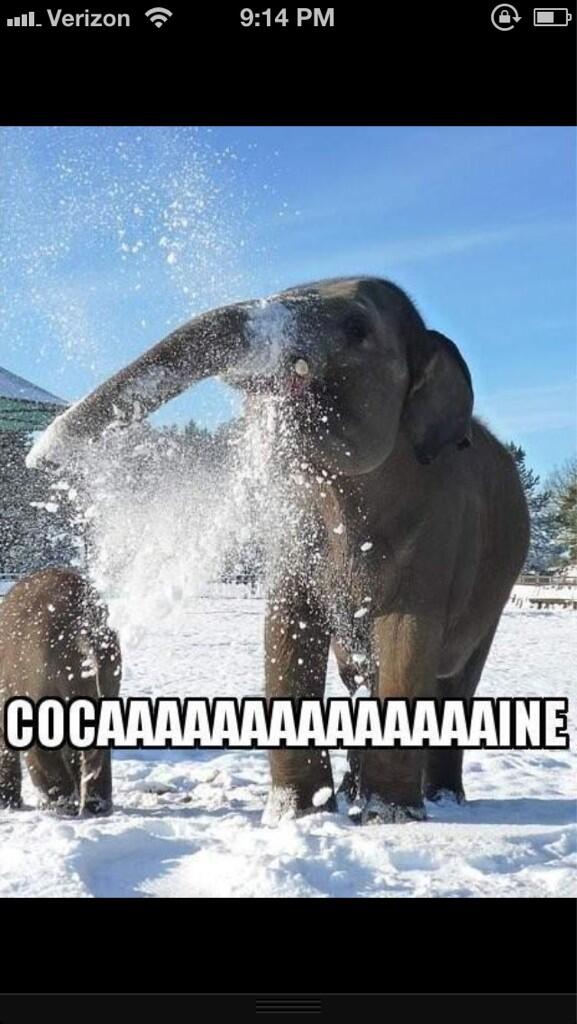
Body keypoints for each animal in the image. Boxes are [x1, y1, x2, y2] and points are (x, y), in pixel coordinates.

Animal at [0, 567, 121, 815]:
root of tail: (82, 629)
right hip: (108, 673)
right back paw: (96, 806)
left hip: (36, 675)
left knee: (41, 750)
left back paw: (58, 807)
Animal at [26, 276, 530, 823]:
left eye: (358, 328)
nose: (39, 456)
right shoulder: (295, 530)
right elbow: (287, 624)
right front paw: (298, 813)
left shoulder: (440, 531)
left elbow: (407, 638)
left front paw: (388, 818)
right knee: (360, 674)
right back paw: (356, 792)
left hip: (494, 592)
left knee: (455, 679)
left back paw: (438, 799)